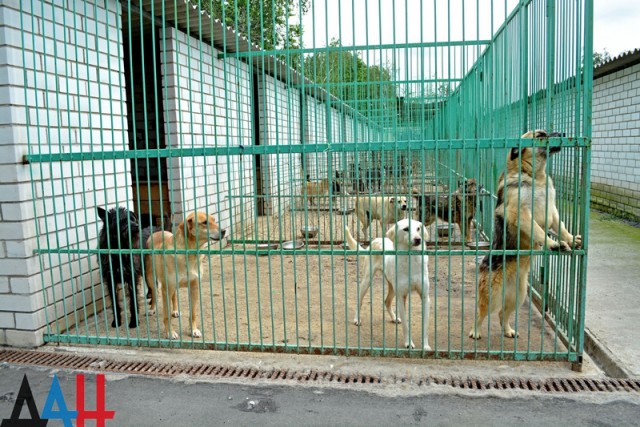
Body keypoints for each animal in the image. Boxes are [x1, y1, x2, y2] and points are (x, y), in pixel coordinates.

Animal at [144, 211, 226, 342]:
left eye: (214, 220)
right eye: (205, 222)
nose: (224, 231)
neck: (190, 253)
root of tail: (159, 231)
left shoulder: (194, 287)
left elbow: (193, 313)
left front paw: (193, 330)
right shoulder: (166, 289)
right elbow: (166, 316)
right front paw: (170, 333)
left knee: (174, 296)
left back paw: (175, 310)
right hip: (150, 277)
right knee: (155, 292)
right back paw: (152, 309)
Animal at [344, 217, 430, 352]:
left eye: (418, 228)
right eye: (406, 229)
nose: (418, 239)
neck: (411, 260)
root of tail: (375, 240)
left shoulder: (425, 297)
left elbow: (425, 326)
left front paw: (425, 347)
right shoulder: (401, 297)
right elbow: (406, 325)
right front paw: (408, 343)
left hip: (392, 287)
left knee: (387, 301)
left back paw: (394, 317)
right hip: (367, 281)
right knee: (359, 299)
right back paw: (357, 319)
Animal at [468, 130, 584, 342]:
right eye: (540, 135)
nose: (563, 133)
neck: (534, 176)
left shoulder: (552, 211)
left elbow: (561, 227)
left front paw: (571, 239)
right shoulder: (520, 213)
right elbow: (538, 231)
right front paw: (553, 244)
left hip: (518, 296)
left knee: (502, 314)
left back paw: (508, 330)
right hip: (492, 296)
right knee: (480, 313)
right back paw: (476, 331)